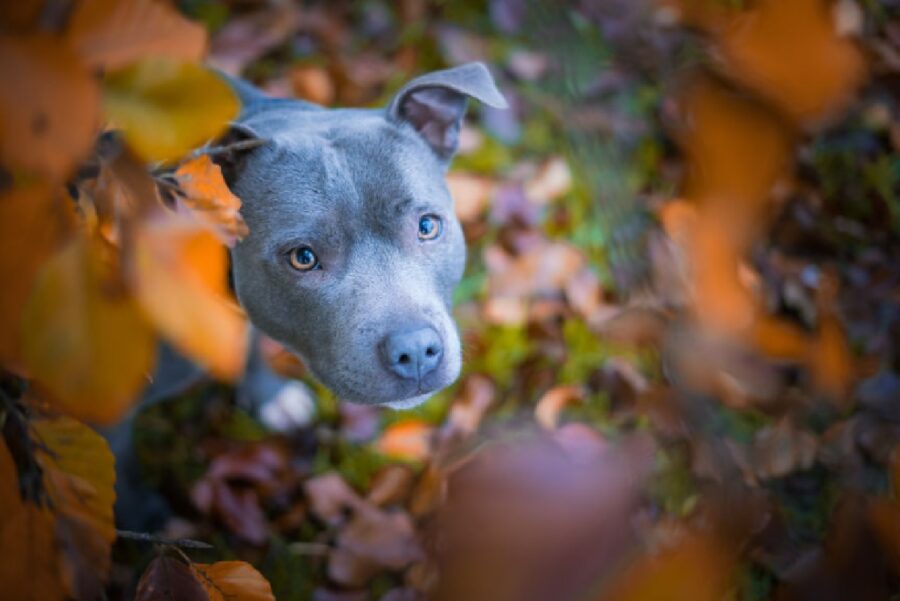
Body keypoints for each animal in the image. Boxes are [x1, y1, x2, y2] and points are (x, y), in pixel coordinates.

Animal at [107, 63, 506, 528]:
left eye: (428, 226)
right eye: (303, 257)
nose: (416, 351)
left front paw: (270, 396)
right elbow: (120, 471)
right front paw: (148, 522)